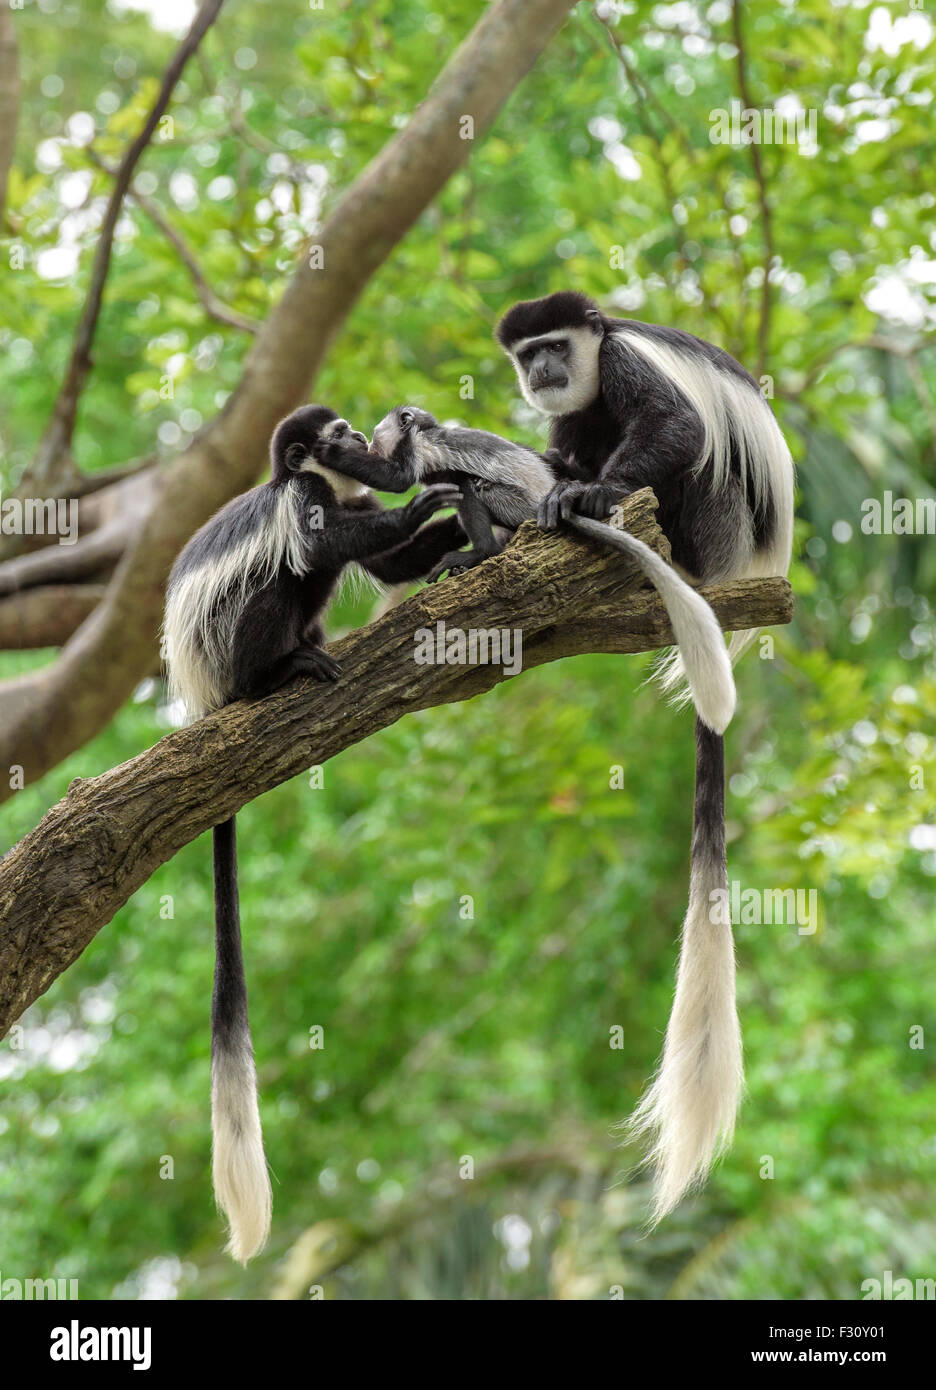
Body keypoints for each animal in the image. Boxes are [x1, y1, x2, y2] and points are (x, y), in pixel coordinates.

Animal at [166, 405, 464, 1262]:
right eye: (332, 434)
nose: (360, 437)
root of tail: (204, 698)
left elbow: (387, 561)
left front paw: (453, 530)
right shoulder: (305, 496)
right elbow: (319, 544)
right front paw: (427, 503)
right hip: (232, 644)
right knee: (283, 578)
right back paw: (281, 673)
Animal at [492, 290, 789, 1217]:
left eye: (557, 345)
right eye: (530, 356)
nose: (546, 372)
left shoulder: (623, 366)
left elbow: (676, 426)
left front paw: (587, 493)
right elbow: (560, 441)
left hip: (719, 521)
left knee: (693, 461)